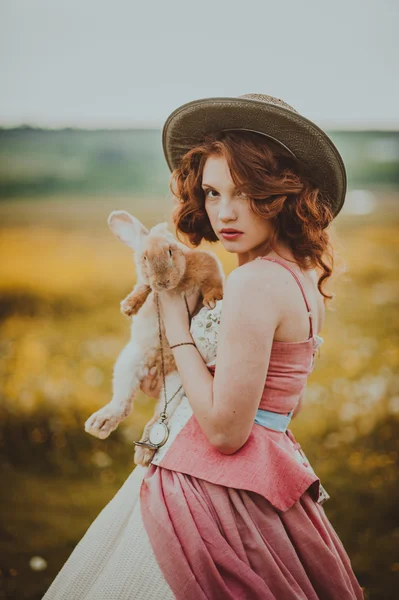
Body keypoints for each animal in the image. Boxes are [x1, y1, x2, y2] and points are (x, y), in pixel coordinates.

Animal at [84, 211, 225, 468]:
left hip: (179, 382)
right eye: (144, 258)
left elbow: (213, 282)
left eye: (170, 251)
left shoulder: (208, 265)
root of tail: (158, 365)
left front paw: (212, 300)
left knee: (160, 417)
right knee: (124, 404)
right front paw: (129, 306)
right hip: (130, 362)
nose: (162, 282)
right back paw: (102, 425)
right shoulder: (146, 283)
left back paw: (142, 452)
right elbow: (143, 287)